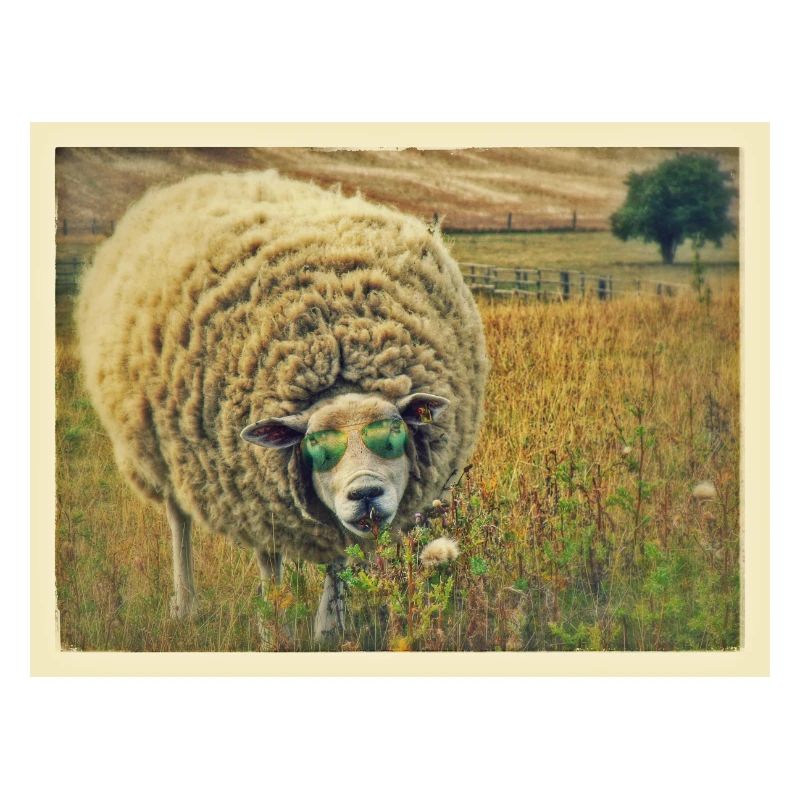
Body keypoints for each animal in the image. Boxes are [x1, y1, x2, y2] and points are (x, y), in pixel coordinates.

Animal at [76, 170, 488, 641]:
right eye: (315, 446)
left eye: (394, 436)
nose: (365, 493)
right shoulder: (254, 498)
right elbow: (270, 567)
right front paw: (272, 631)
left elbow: (338, 560)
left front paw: (329, 631)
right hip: (162, 454)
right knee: (178, 519)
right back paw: (185, 605)